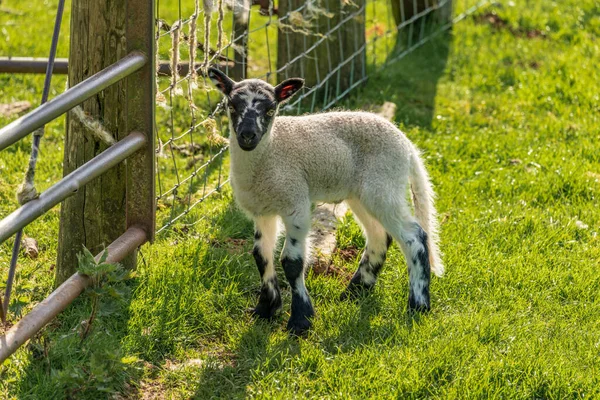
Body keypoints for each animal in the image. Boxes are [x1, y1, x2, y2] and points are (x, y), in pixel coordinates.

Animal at [209, 68, 442, 334]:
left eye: (270, 110)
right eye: (231, 106)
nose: (248, 136)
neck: (269, 154)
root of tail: (408, 146)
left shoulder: (295, 202)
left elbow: (291, 261)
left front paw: (300, 320)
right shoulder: (262, 210)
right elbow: (261, 255)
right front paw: (265, 309)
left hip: (384, 185)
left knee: (415, 236)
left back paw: (418, 305)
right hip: (361, 193)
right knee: (379, 236)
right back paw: (355, 292)